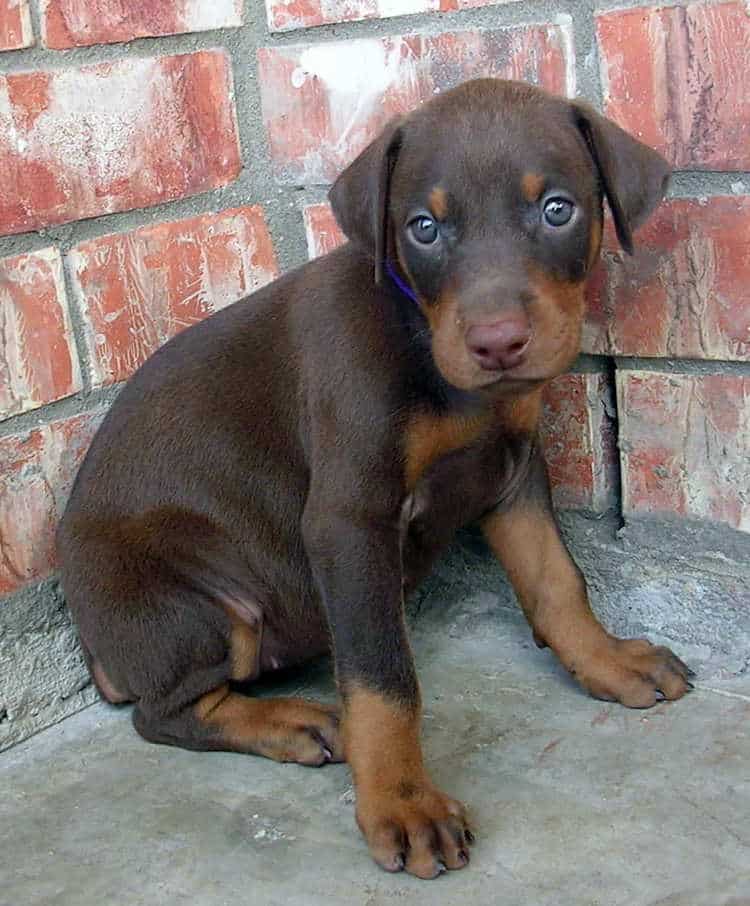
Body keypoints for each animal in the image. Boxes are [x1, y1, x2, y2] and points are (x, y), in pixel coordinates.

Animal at [57, 79, 692, 876]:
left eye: (557, 209)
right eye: (423, 227)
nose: (497, 343)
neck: (430, 349)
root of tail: (98, 648)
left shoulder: (513, 474)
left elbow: (556, 581)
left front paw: (605, 660)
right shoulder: (349, 521)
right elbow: (382, 677)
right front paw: (401, 801)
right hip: (193, 600)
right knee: (166, 713)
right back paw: (290, 722)